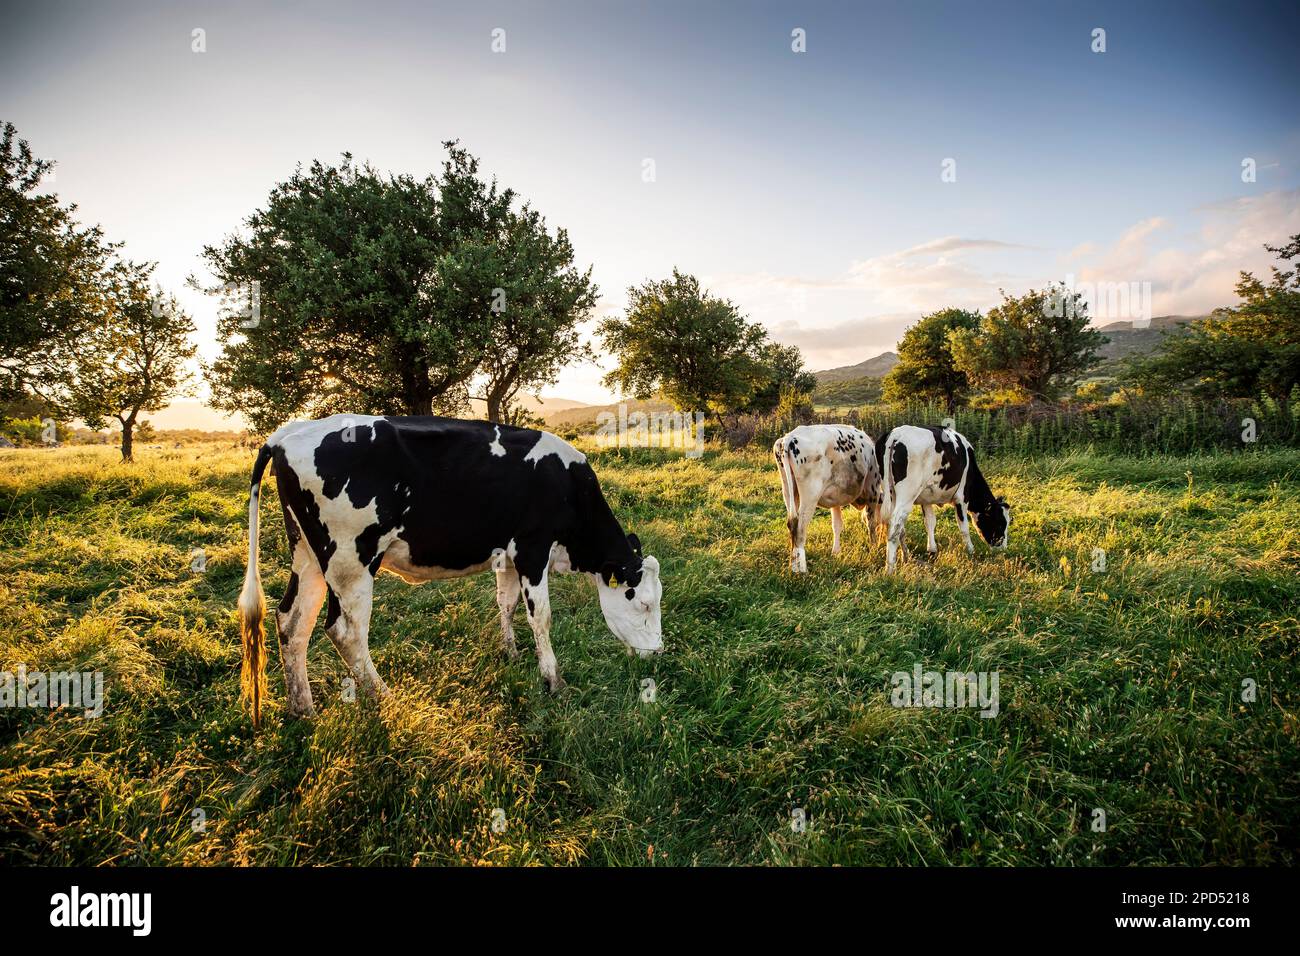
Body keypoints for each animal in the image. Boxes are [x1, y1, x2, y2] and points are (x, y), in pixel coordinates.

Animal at [237, 414, 663, 727]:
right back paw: (384, 697)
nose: (658, 653)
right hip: (349, 558)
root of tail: (288, 434)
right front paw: (553, 680)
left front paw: (510, 652)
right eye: (643, 603)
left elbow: (505, 603)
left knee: (292, 621)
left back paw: (303, 710)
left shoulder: (507, 554)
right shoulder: (532, 548)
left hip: (308, 555)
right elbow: (540, 616)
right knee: (344, 630)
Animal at [773, 424, 882, 572]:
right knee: (799, 526)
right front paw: (874, 548)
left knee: (791, 522)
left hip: (787, 490)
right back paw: (801, 569)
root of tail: (789, 437)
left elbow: (837, 524)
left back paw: (793, 564)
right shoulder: (873, 490)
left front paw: (836, 552)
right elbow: (871, 522)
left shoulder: (835, 498)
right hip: (810, 495)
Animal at [878, 424, 1010, 573]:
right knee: (895, 526)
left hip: (890, 492)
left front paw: (932, 550)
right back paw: (890, 569)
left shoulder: (926, 499)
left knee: (897, 526)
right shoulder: (962, 497)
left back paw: (905, 557)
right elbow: (964, 527)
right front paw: (971, 551)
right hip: (907, 495)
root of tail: (896, 434)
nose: (1003, 549)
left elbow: (930, 522)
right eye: (1000, 523)